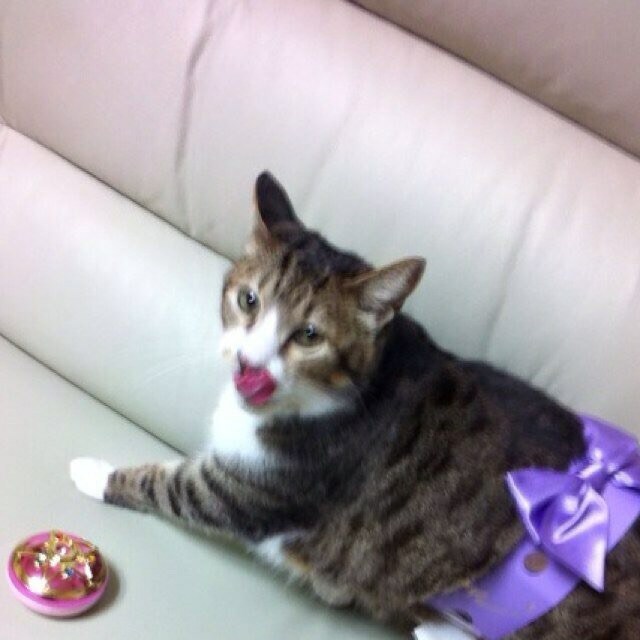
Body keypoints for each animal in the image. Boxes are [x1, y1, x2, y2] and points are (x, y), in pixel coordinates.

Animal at [71, 172, 640, 639]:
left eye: (309, 335)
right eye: (249, 300)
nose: (249, 362)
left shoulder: (259, 486)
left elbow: (176, 486)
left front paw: (94, 472)